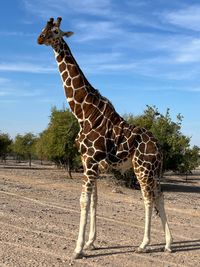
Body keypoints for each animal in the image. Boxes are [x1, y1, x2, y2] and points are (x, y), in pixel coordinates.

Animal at [38, 16, 173, 260]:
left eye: (55, 31)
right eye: (43, 28)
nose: (39, 39)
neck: (83, 113)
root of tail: (159, 147)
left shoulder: (91, 161)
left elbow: (84, 200)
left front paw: (78, 249)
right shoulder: (87, 162)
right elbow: (94, 201)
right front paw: (91, 242)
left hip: (142, 168)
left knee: (148, 199)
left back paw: (144, 244)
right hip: (153, 170)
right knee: (160, 196)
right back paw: (168, 244)